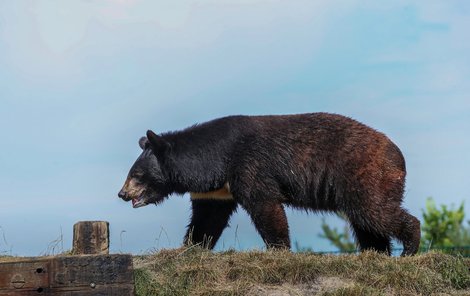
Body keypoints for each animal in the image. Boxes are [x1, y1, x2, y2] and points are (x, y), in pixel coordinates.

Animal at [119, 112, 420, 256]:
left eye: (137, 174)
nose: (122, 193)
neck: (215, 159)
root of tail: (399, 155)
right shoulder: (217, 189)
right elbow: (207, 219)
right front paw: (191, 246)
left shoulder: (249, 165)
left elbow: (265, 205)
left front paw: (278, 248)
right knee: (366, 223)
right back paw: (376, 252)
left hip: (363, 173)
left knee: (374, 211)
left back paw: (409, 247)